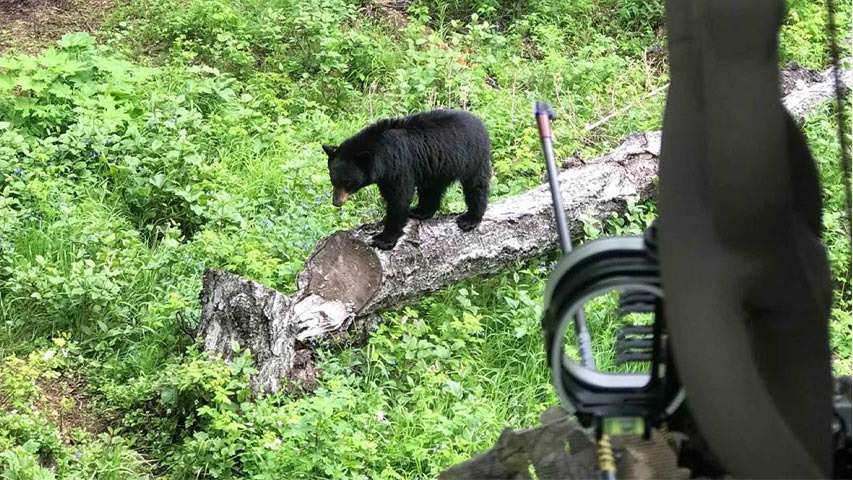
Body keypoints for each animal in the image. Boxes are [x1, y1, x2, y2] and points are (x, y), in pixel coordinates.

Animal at [322, 109, 492, 250]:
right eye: (333, 180)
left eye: (348, 183)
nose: (336, 202)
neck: (381, 154)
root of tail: (480, 123)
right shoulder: (385, 176)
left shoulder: (399, 167)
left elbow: (399, 198)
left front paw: (384, 239)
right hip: (436, 167)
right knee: (431, 189)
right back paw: (420, 211)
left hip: (472, 157)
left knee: (476, 186)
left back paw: (470, 219)